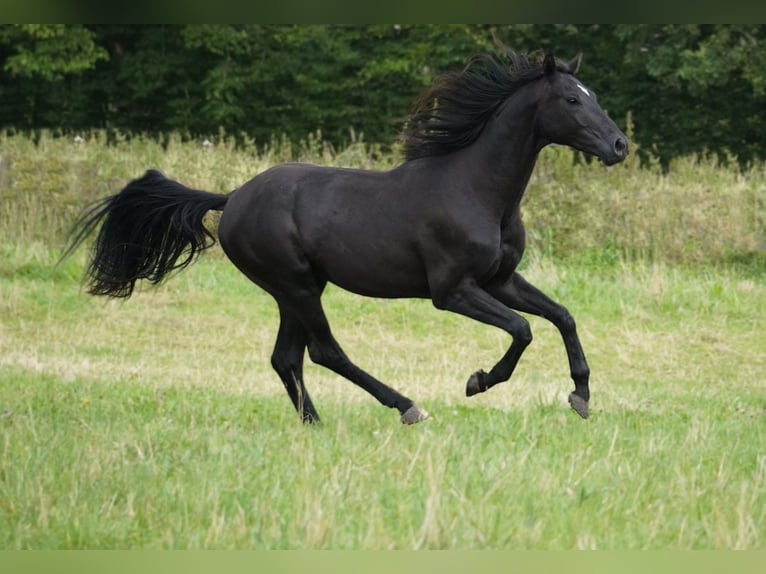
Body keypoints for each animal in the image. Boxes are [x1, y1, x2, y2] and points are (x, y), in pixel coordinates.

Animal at [63, 49, 632, 426]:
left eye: (595, 96)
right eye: (571, 99)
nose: (620, 146)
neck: (476, 189)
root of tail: (232, 198)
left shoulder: (500, 280)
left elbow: (561, 316)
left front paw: (581, 396)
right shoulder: (452, 292)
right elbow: (522, 330)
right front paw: (478, 382)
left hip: (296, 289)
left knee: (286, 358)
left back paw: (313, 423)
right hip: (295, 285)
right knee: (324, 352)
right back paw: (406, 406)